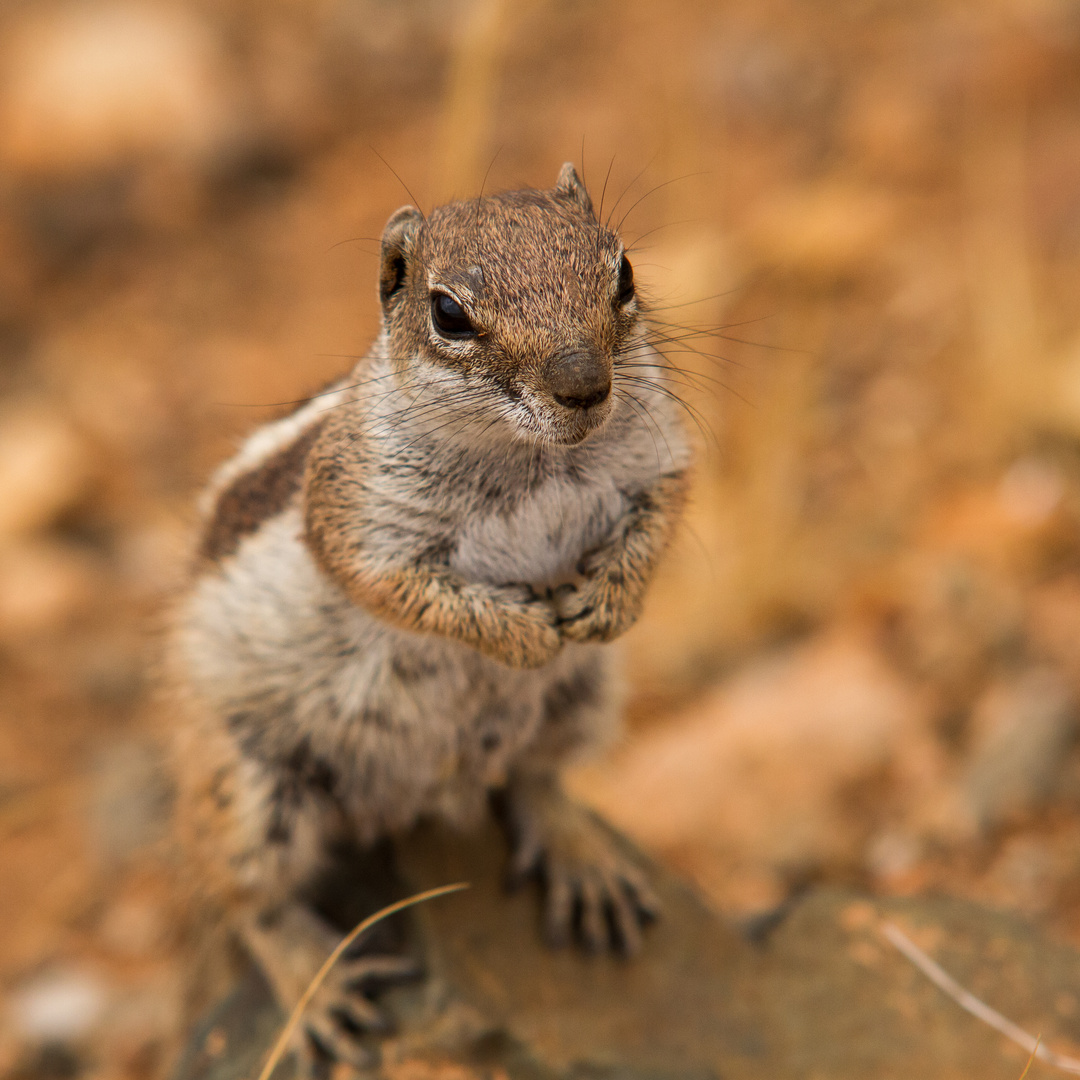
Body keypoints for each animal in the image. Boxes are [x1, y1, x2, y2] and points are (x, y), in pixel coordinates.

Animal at [168, 159, 691, 1071]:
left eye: (623, 271)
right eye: (449, 314)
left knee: (537, 778)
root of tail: (406, 805)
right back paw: (317, 989)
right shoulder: (358, 520)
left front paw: (608, 604)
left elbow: (659, 515)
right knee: (250, 901)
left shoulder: (658, 454)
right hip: (243, 786)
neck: (533, 462)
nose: (584, 385)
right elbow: (404, 590)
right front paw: (522, 633)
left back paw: (583, 859)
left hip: (581, 700)